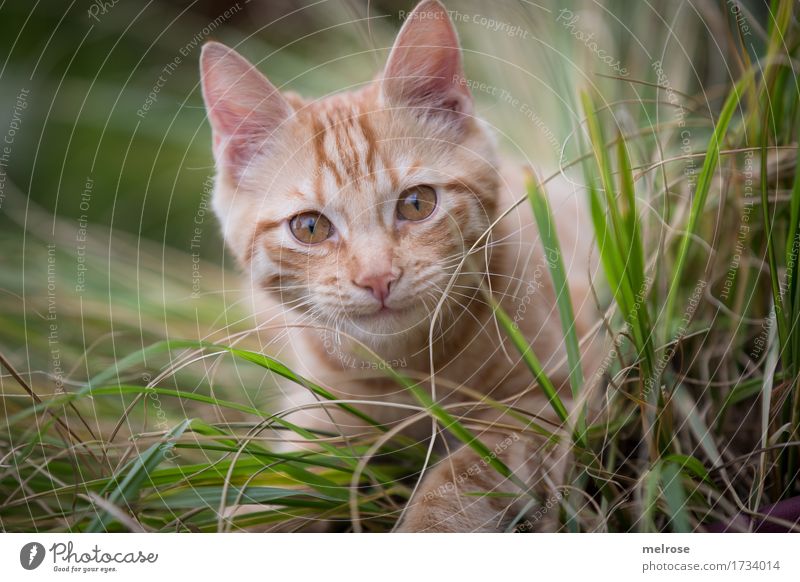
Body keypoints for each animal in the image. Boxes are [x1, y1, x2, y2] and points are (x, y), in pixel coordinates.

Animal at [200, 0, 600, 532]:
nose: (377, 278)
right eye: (310, 228)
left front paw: (426, 524)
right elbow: (278, 483)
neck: (407, 369)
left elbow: (459, 479)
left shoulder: (553, 400)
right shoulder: (320, 417)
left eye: (416, 203)